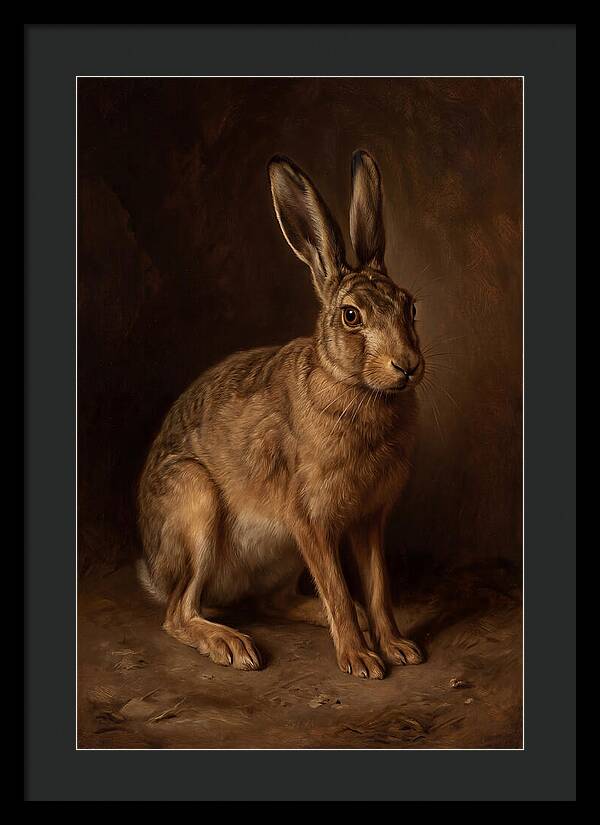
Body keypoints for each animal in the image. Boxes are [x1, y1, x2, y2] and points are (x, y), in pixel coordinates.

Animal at [137, 150, 425, 679]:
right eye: (351, 316)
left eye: (410, 307)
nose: (407, 365)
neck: (355, 387)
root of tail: (155, 568)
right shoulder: (308, 518)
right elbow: (337, 586)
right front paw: (361, 660)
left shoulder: (368, 520)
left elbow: (378, 589)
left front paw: (396, 647)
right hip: (195, 503)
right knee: (178, 612)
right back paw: (231, 645)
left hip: (281, 556)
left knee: (273, 602)